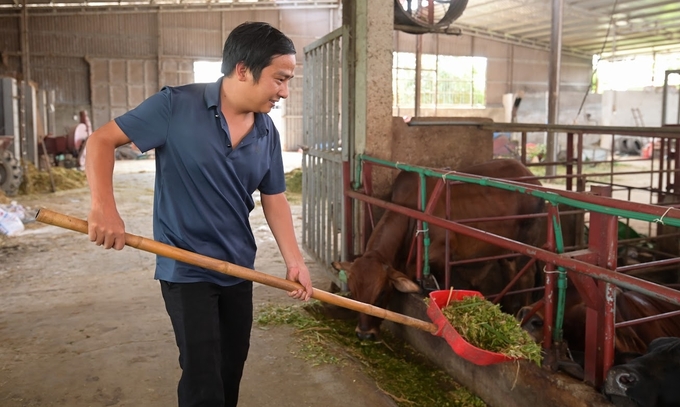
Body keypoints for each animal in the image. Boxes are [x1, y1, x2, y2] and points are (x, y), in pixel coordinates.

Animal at [332, 159, 544, 342]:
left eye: (382, 292)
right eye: (354, 290)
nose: (364, 334)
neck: (411, 213)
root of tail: (531, 176)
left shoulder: (441, 259)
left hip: (526, 246)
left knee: (527, 277)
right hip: (505, 251)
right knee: (510, 274)